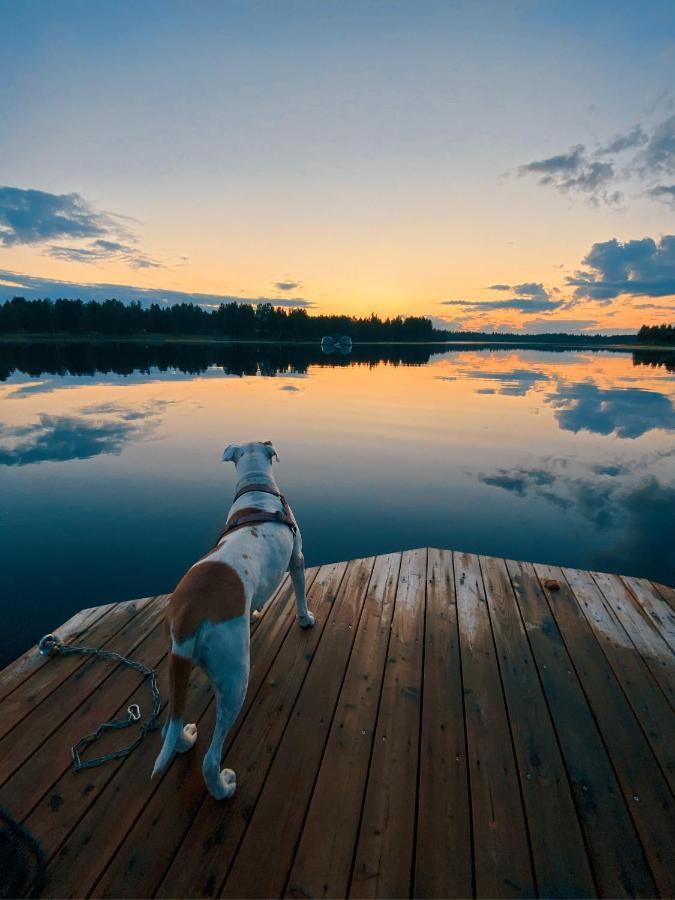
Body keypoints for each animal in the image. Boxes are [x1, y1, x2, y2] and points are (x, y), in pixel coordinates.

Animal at [151, 440, 314, 800]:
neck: (256, 490)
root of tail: (188, 613)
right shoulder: (297, 558)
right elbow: (300, 591)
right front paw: (306, 618)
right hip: (234, 676)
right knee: (210, 759)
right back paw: (223, 788)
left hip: (175, 663)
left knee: (170, 726)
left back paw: (184, 740)